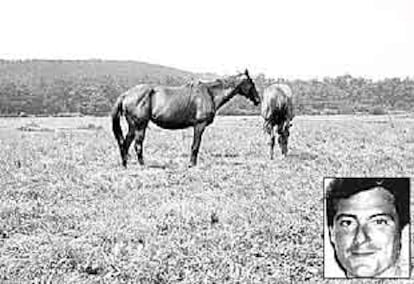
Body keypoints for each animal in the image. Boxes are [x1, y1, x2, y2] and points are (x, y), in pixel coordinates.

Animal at [110, 70, 258, 168]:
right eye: (251, 82)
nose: (258, 100)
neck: (209, 93)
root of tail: (126, 94)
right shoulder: (199, 125)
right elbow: (195, 145)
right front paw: (192, 164)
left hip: (133, 126)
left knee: (125, 143)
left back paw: (125, 164)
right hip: (140, 125)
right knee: (137, 144)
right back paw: (142, 164)